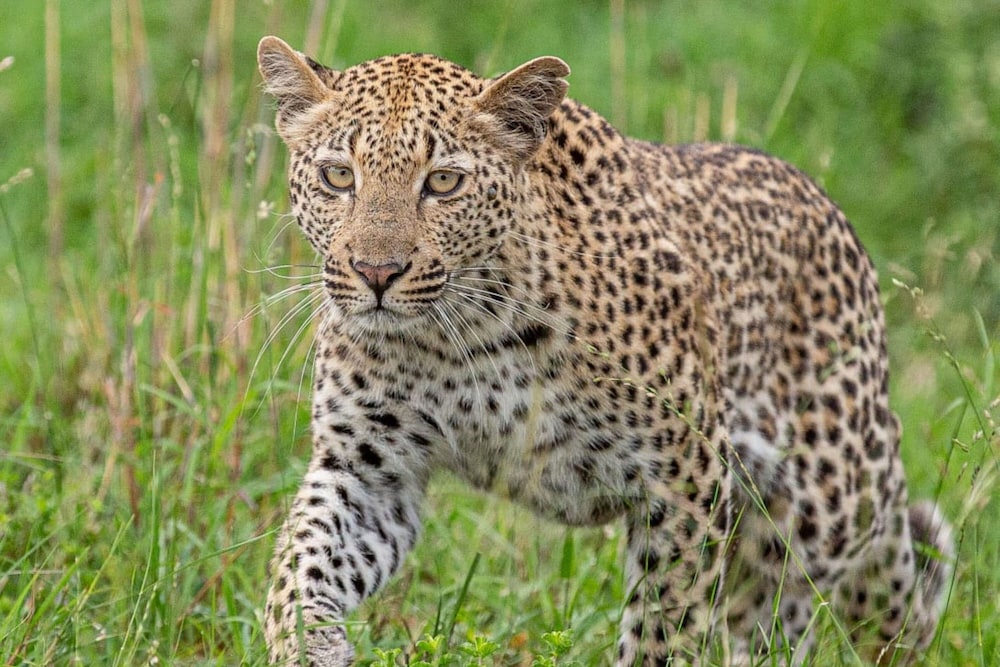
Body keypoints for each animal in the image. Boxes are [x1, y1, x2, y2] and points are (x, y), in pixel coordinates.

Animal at [256, 35, 953, 666]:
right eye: (338, 176)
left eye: (444, 182)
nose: (376, 273)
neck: (462, 339)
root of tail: (832, 213)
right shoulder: (370, 470)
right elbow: (299, 567)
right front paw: (309, 645)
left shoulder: (684, 473)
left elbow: (668, 622)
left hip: (828, 498)